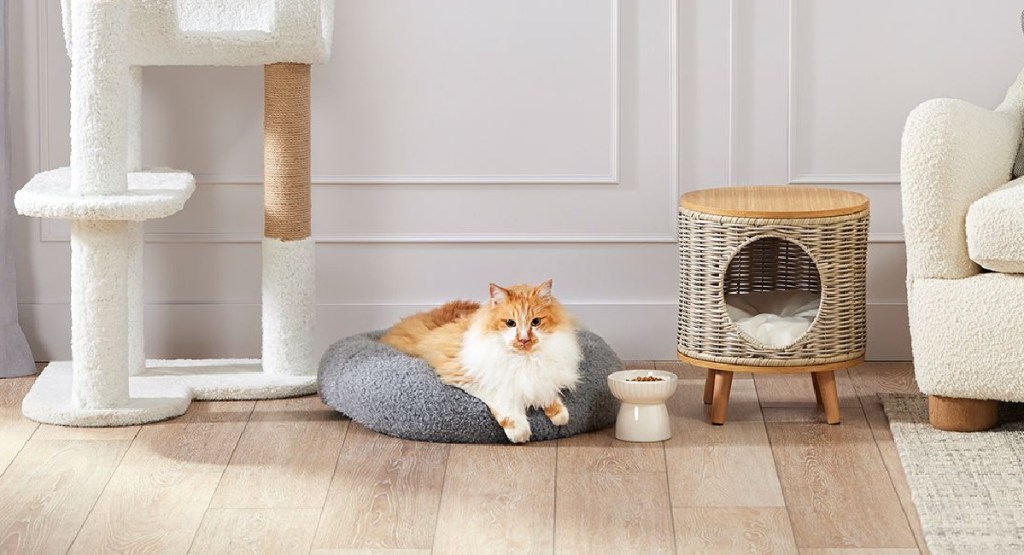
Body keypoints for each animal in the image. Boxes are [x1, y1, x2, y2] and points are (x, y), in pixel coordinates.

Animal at [380, 280, 581, 446]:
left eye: (536, 322)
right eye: (510, 323)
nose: (524, 340)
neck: (523, 359)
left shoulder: (542, 375)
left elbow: (546, 392)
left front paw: (559, 414)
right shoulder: (466, 374)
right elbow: (505, 404)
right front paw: (519, 432)